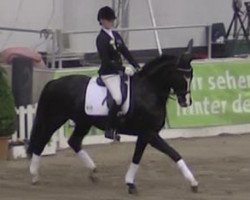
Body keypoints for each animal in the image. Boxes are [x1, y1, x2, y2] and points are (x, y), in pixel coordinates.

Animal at [27, 40, 199, 194]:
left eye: (191, 75)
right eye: (180, 75)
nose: (186, 102)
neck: (148, 90)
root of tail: (54, 82)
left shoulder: (145, 134)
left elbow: (137, 158)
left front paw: (130, 183)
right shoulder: (149, 133)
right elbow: (173, 153)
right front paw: (193, 183)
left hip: (83, 122)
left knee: (74, 142)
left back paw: (93, 171)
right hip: (55, 119)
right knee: (41, 142)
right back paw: (34, 176)